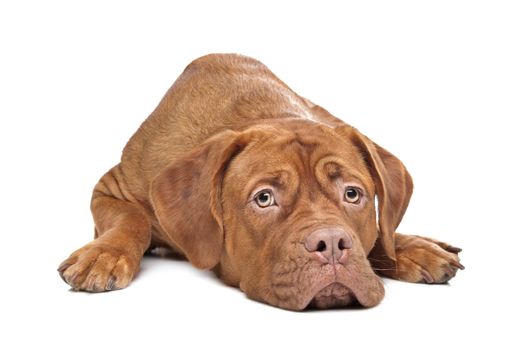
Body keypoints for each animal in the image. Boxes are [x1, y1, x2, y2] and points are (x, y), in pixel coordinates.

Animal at [58, 53, 462, 310]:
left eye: (352, 194)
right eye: (264, 198)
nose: (332, 244)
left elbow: (380, 231)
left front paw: (410, 248)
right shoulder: (111, 189)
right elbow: (132, 218)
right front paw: (104, 255)